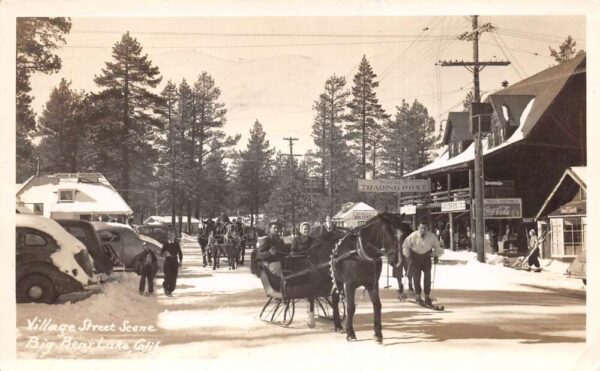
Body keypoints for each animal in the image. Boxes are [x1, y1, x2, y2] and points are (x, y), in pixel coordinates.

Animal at [310, 214, 412, 344]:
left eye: (402, 234)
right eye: (390, 232)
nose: (398, 261)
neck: (360, 252)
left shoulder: (372, 284)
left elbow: (377, 305)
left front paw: (378, 334)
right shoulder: (349, 284)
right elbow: (351, 307)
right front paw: (350, 333)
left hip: (336, 279)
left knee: (334, 298)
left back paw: (337, 325)